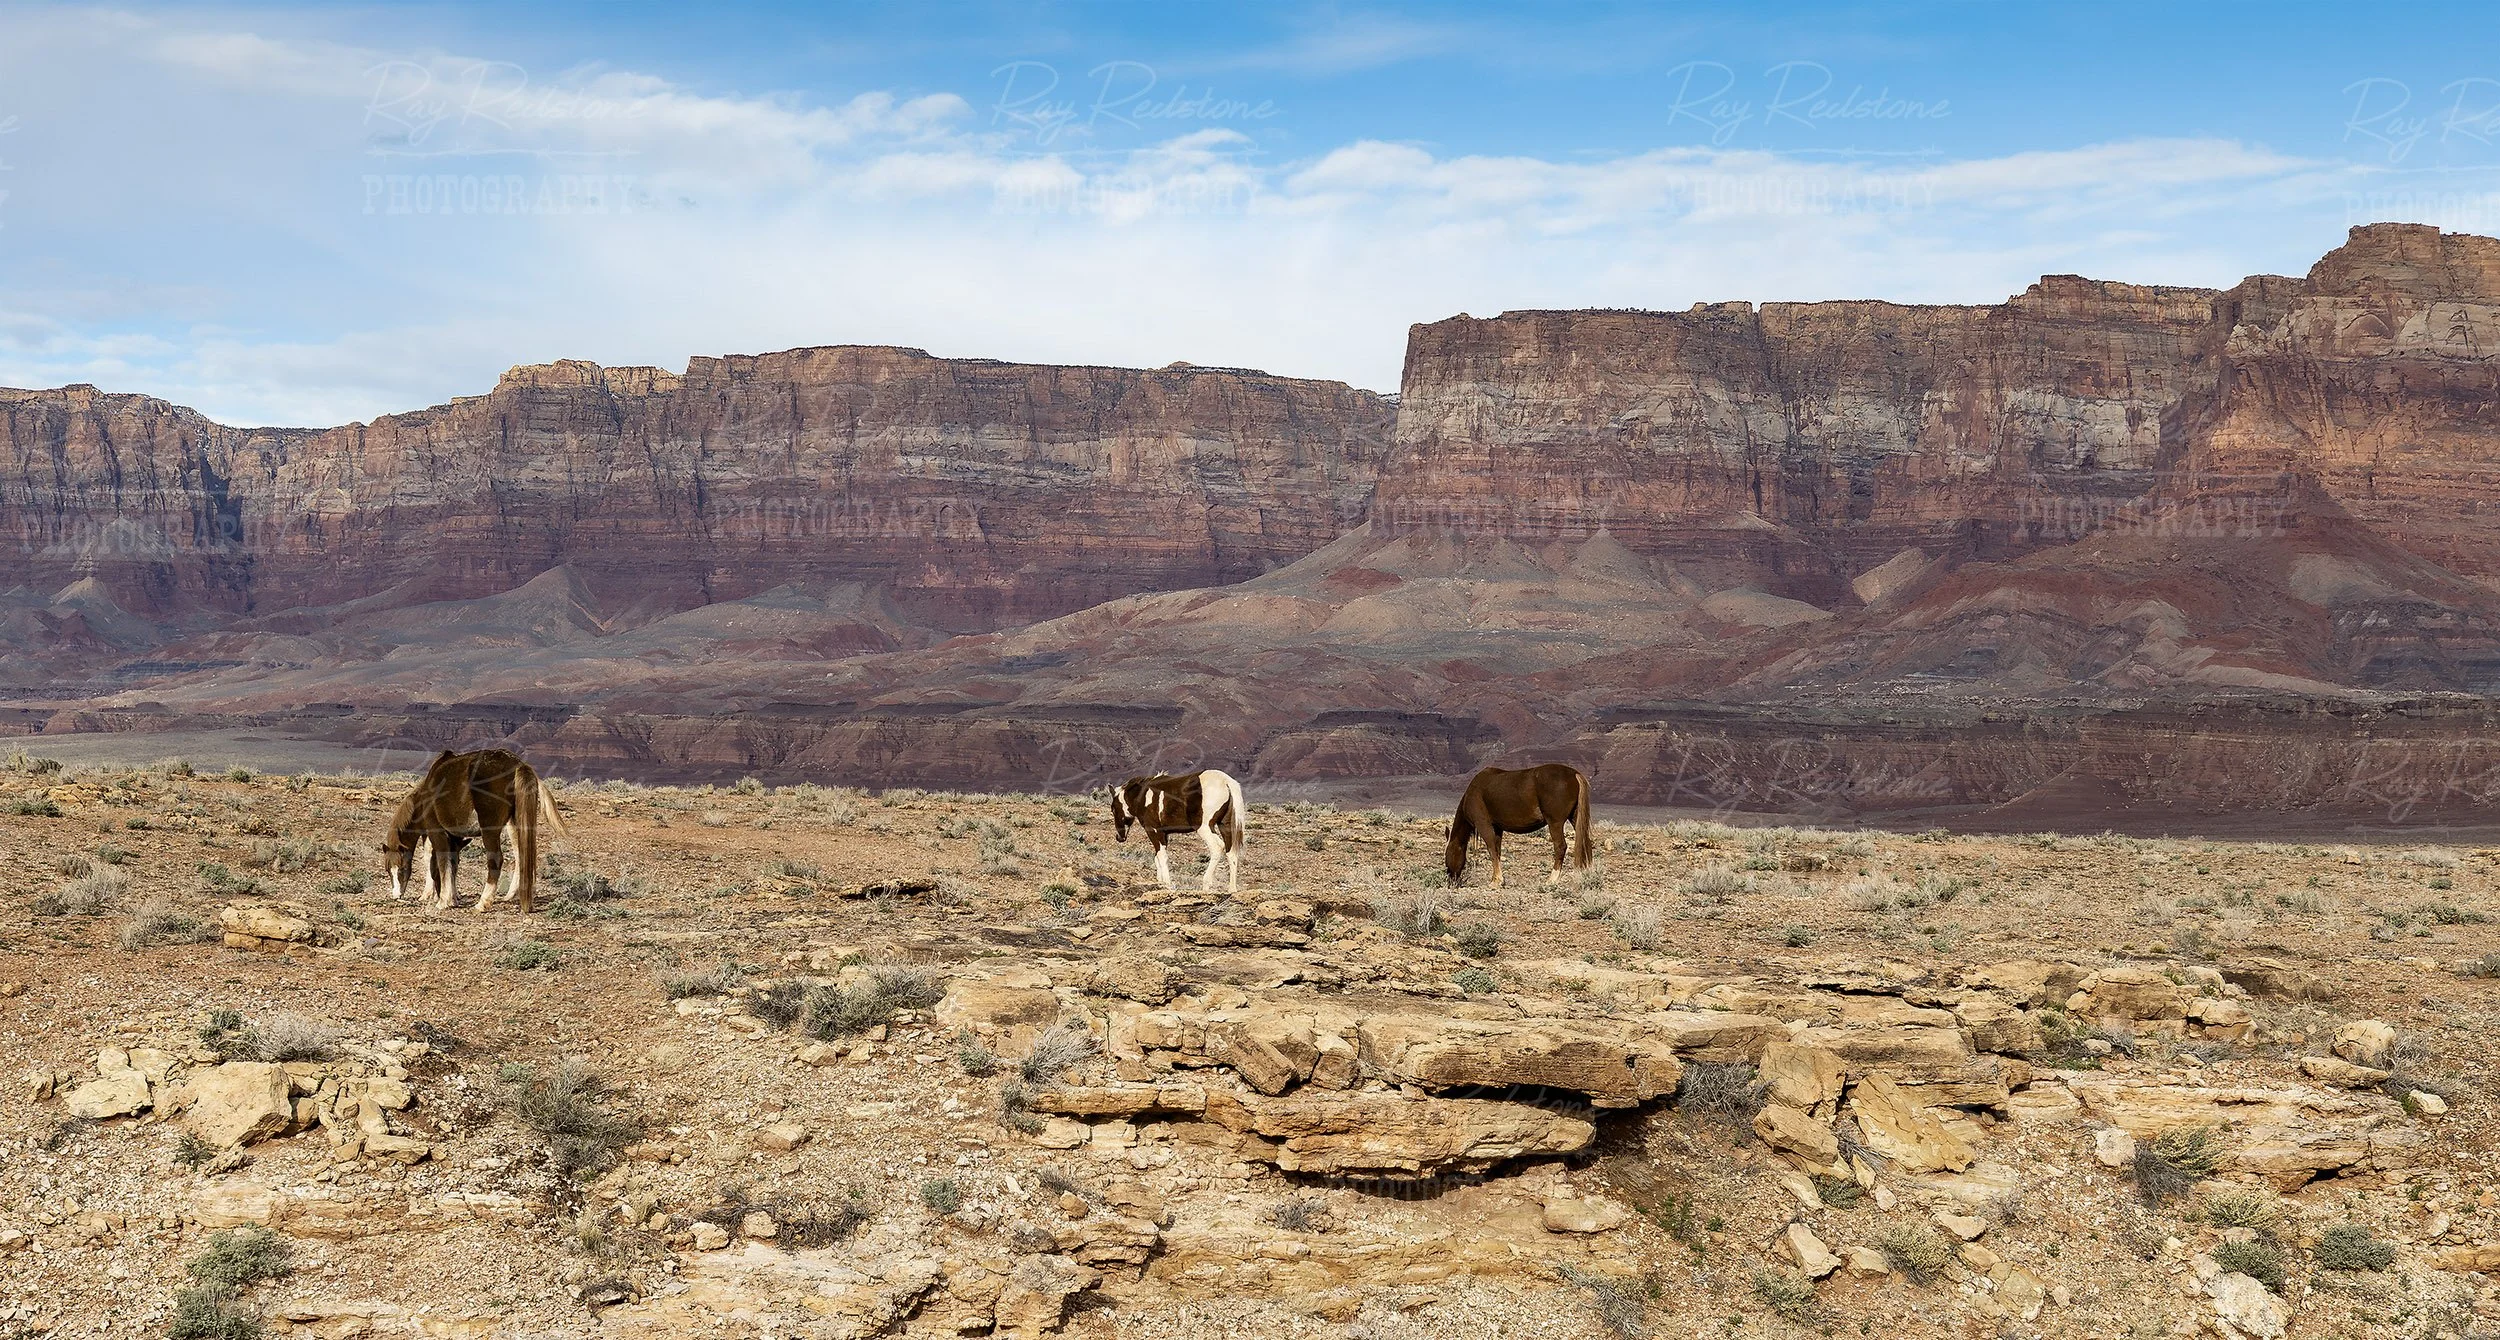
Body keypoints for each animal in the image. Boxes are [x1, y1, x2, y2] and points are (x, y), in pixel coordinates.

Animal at [382, 748, 566, 912]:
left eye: (402, 868)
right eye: (388, 870)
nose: (396, 895)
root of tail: (517, 765)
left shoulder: (437, 832)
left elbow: (440, 862)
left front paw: (442, 900)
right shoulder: (455, 839)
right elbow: (452, 864)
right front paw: (452, 898)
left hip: (490, 829)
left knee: (496, 859)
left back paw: (482, 904)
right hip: (515, 823)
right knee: (522, 855)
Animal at [1108, 769, 1246, 892]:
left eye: (1113, 809)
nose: (1119, 837)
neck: (1143, 796)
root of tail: (1226, 782)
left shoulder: (1153, 830)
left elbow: (1161, 856)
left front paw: (1167, 884)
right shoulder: (1164, 834)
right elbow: (1157, 857)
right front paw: (1161, 882)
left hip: (1204, 828)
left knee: (1217, 847)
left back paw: (1206, 884)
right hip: (1225, 826)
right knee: (1231, 852)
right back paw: (1232, 889)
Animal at [1445, 762, 1593, 887]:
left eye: (1447, 856)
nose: (1451, 881)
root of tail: (1574, 774)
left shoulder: (1483, 824)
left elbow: (1491, 849)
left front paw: (1496, 881)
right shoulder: (1498, 828)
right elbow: (1497, 851)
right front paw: (1497, 878)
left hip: (1555, 823)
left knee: (1560, 846)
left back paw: (1552, 879)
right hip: (1575, 818)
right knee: (1585, 843)